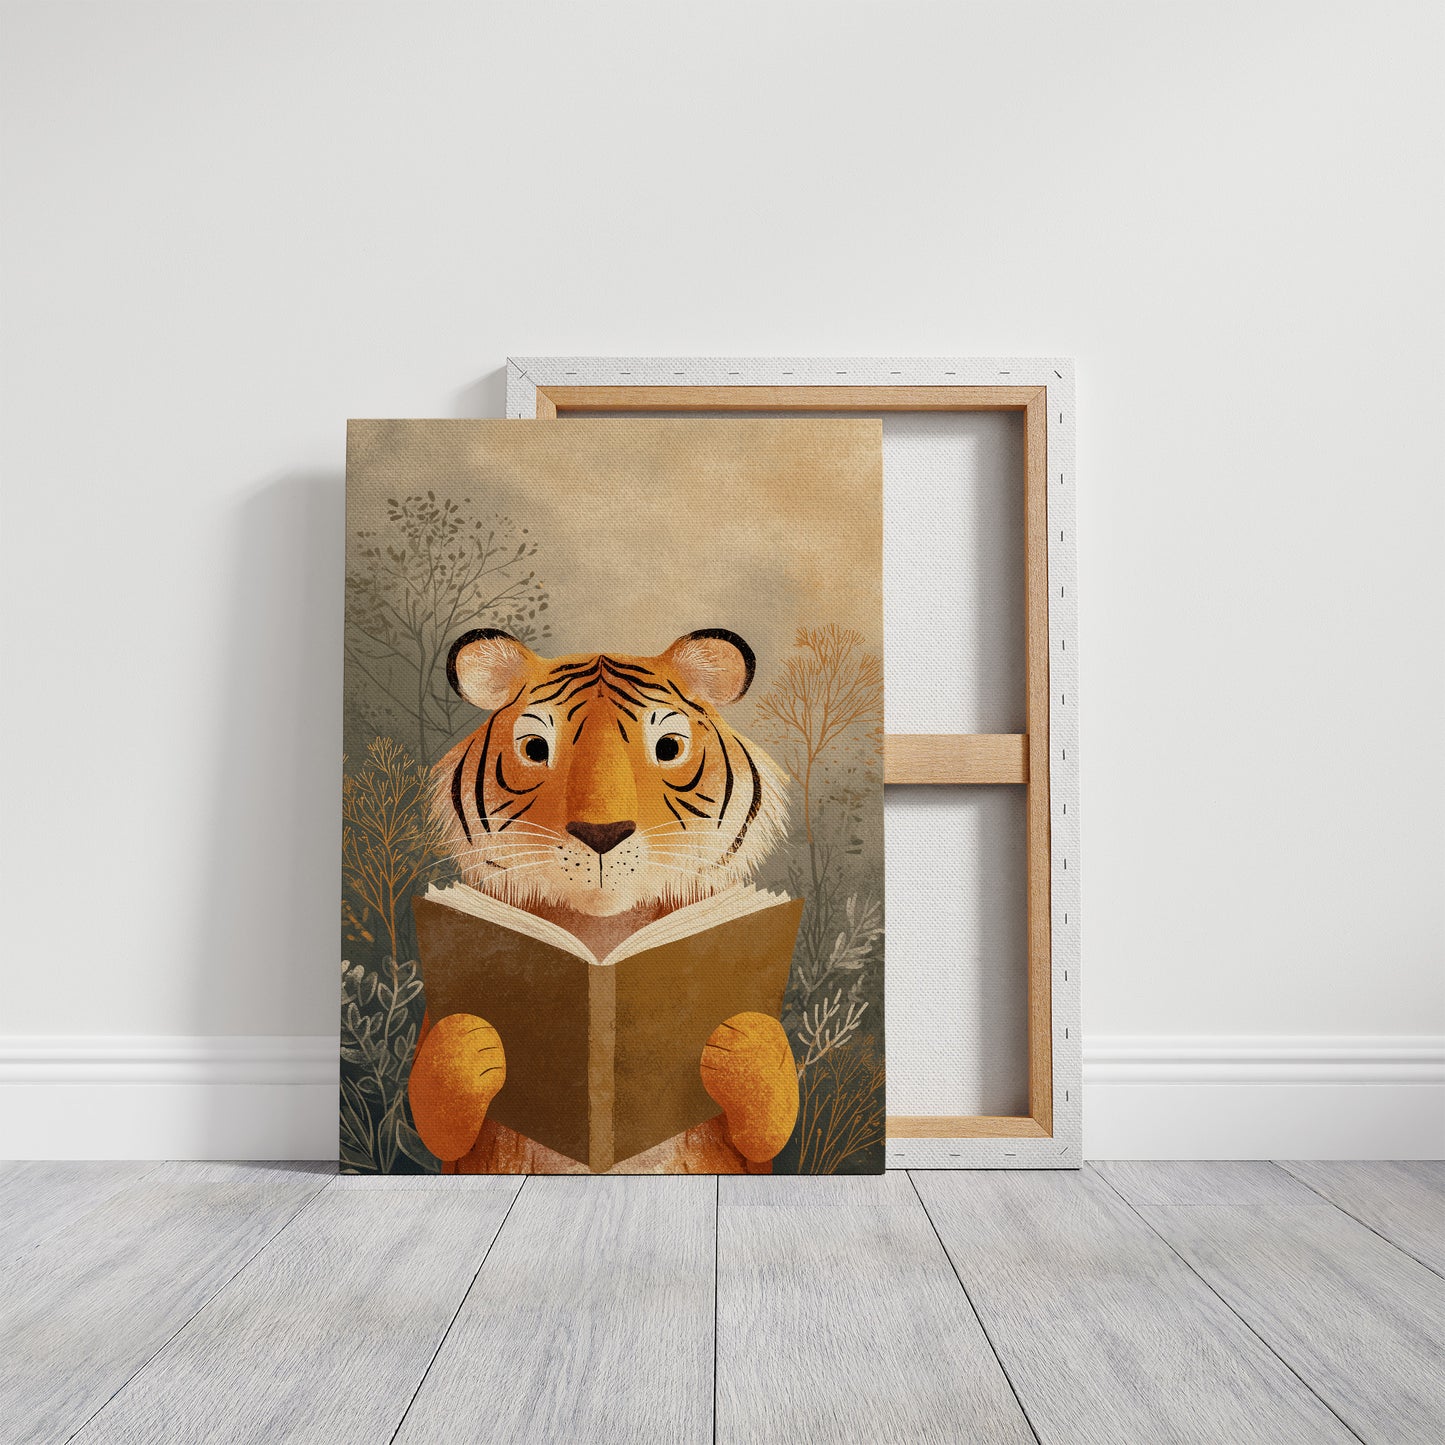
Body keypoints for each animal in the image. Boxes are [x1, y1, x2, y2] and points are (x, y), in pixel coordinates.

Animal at [407, 627, 801, 1174]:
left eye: (668, 747)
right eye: (535, 748)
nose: (602, 833)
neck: (603, 931)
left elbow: (771, 1126)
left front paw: (739, 1043)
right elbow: (435, 1116)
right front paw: (471, 1040)